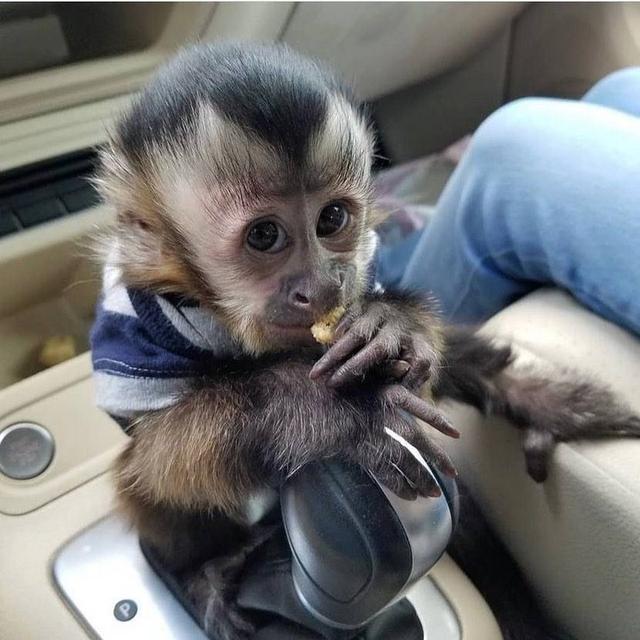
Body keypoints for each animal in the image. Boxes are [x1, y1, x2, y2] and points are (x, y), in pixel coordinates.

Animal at [90, 42, 640, 639]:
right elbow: (162, 449)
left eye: (332, 218)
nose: (322, 285)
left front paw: (390, 325)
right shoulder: (137, 319)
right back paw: (204, 572)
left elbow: (411, 353)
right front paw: (338, 410)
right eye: (265, 235)